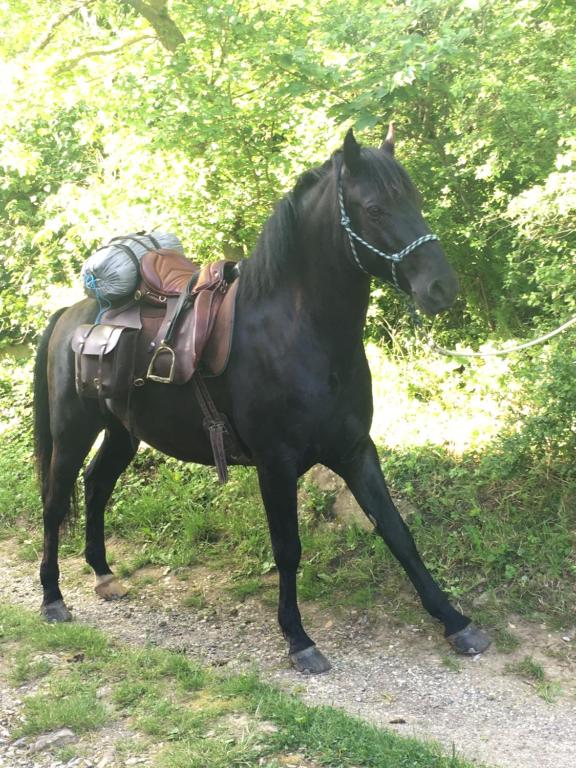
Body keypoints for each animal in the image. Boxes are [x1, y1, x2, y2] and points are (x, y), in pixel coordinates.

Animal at [33, 129, 488, 668]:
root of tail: (70, 313)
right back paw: (52, 597)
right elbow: (288, 548)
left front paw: (455, 621)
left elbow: (398, 532)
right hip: (73, 430)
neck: (301, 333)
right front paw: (298, 638)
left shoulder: (356, 451)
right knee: (55, 500)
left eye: (414, 200)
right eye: (375, 209)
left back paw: (103, 574)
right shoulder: (276, 463)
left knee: (97, 484)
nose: (442, 287)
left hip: (124, 432)